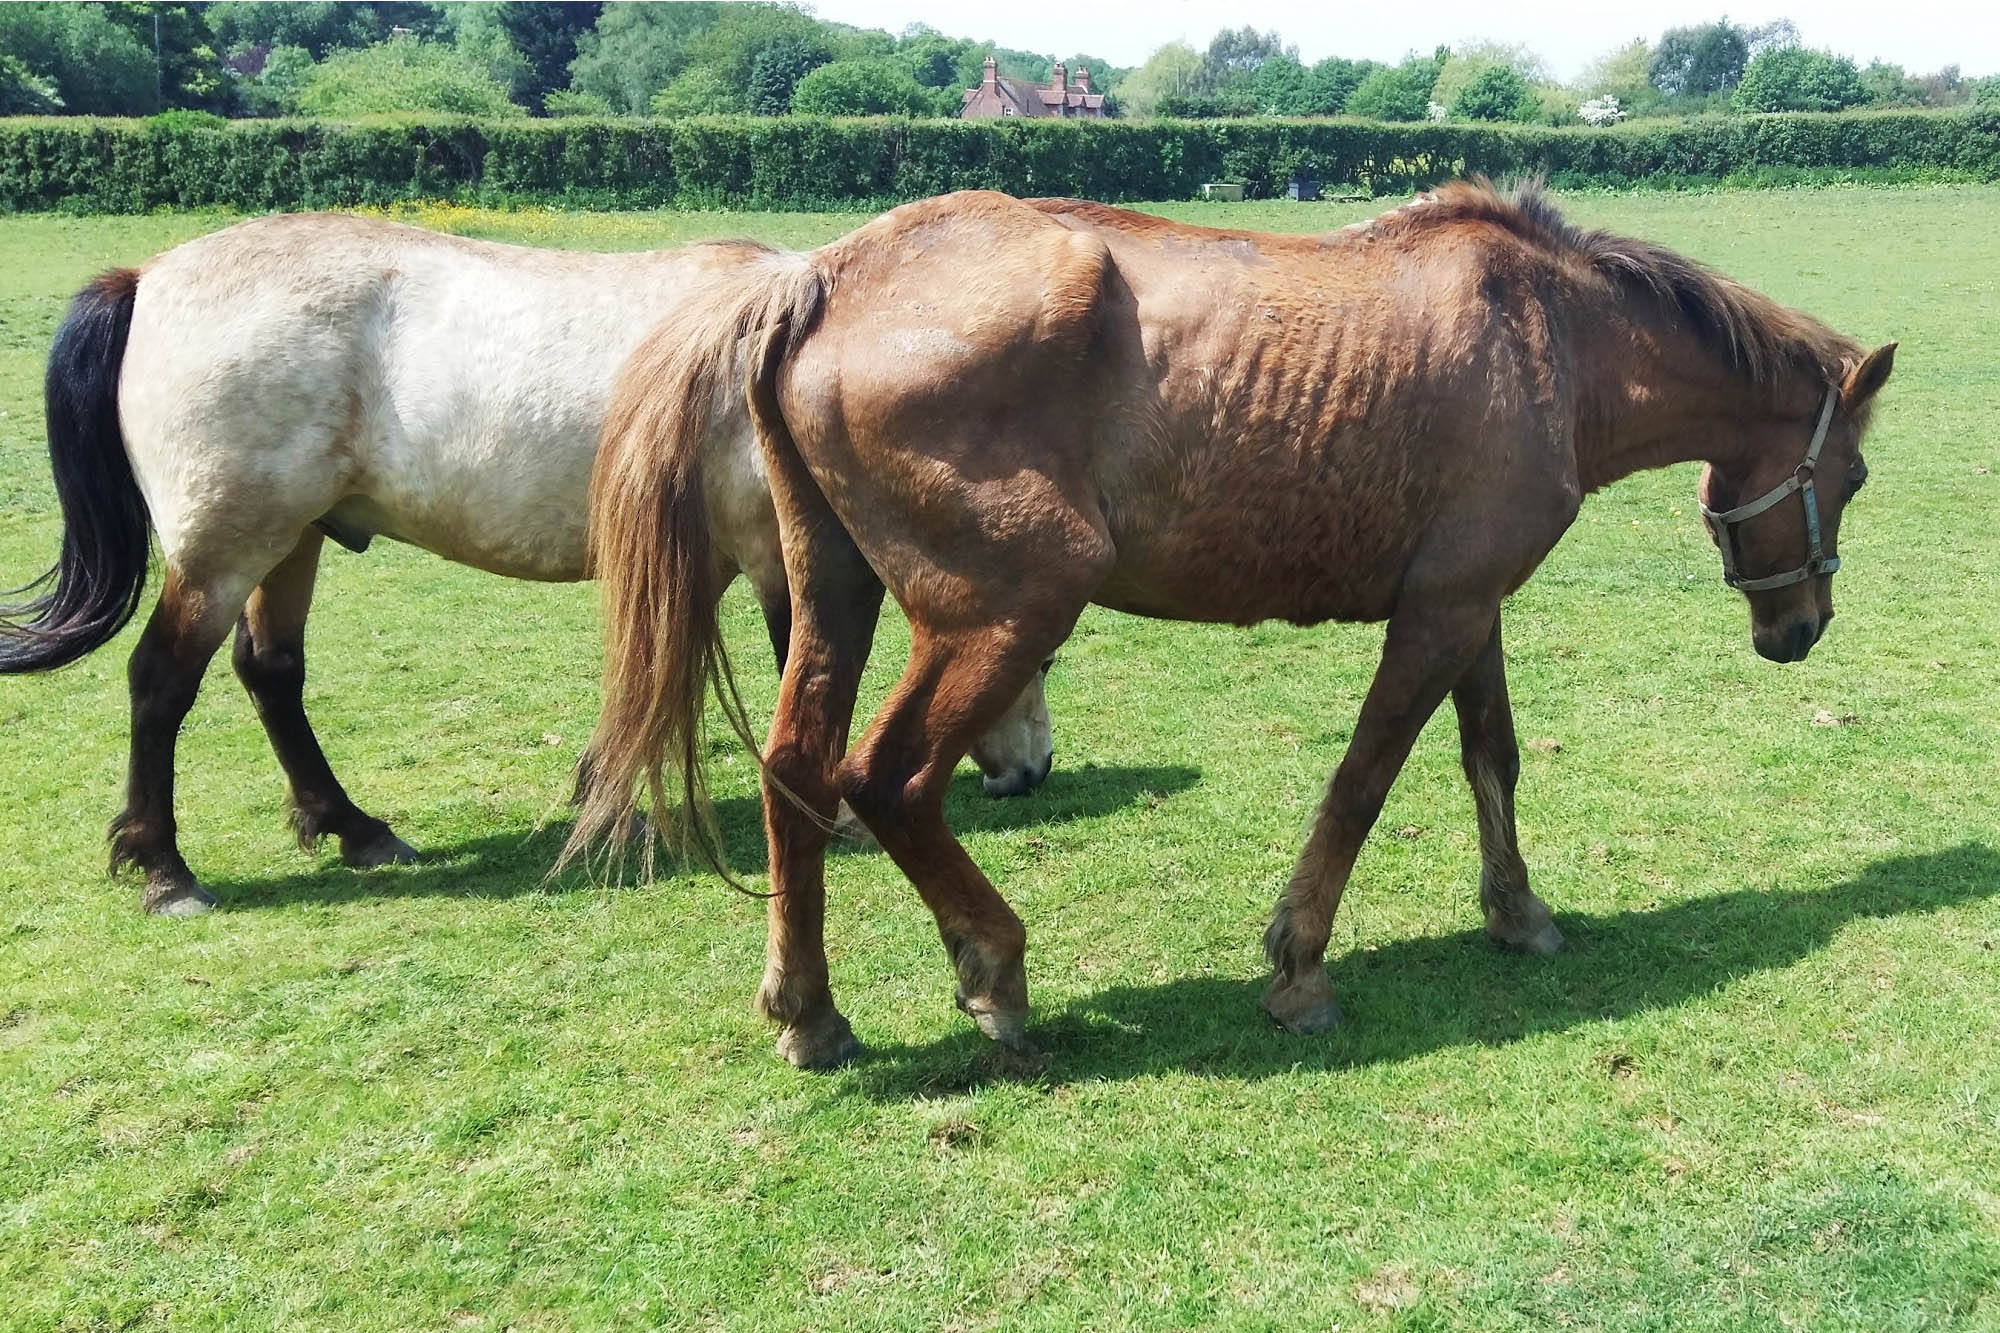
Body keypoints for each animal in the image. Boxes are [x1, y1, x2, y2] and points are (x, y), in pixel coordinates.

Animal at [0, 213, 1064, 912]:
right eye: (1040, 657)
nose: (1033, 772)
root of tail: (149, 277)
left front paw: (601, 785)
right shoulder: (776, 555)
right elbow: (797, 674)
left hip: (290, 540)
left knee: (271, 673)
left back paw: (352, 826)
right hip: (227, 546)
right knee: (160, 683)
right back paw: (164, 866)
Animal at [568, 182, 1888, 1064]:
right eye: (1858, 476)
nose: (1799, 629)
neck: (1547, 339)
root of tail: (827, 273)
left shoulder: (1469, 605)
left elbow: (1490, 760)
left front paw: (1516, 913)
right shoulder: (1436, 616)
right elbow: (1361, 782)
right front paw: (1298, 964)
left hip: (832, 593)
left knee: (796, 770)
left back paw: (809, 1008)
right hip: (1006, 609)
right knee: (885, 779)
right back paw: (992, 965)